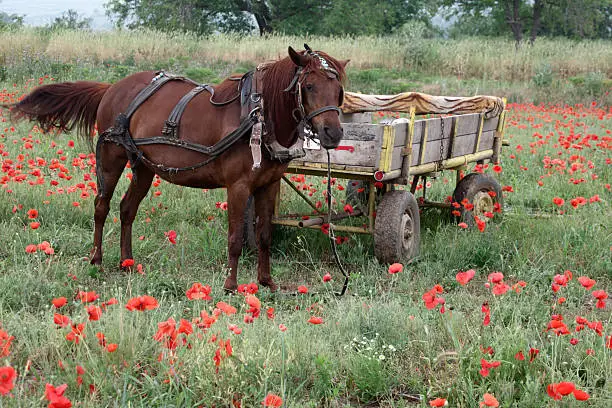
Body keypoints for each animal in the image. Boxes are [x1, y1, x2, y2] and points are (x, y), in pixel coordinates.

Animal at [9, 46, 346, 292]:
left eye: (340, 90)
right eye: (309, 85)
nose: (333, 133)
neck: (258, 116)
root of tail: (113, 87)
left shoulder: (269, 183)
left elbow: (264, 235)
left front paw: (267, 282)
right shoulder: (238, 187)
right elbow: (235, 237)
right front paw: (231, 285)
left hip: (144, 167)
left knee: (127, 209)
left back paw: (127, 262)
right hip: (110, 157)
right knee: (101, 206)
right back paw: (97, 260)